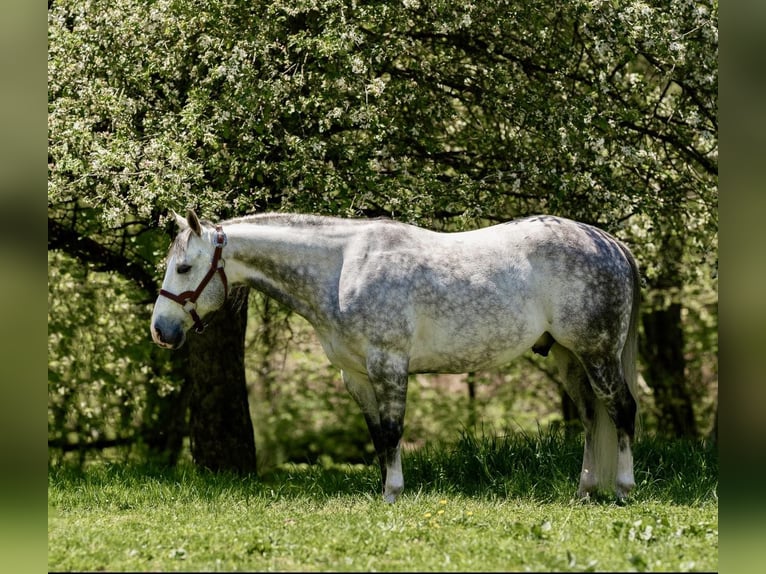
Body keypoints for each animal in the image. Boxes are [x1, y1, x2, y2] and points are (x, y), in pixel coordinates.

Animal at [150, 210, 640, 504]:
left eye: (184, 267)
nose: (160, 331)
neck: (343, 268)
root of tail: (611, 244)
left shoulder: (388, 365)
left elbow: (392, 430)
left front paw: (394, 493)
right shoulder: (356, 376)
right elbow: (377, 436)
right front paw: (384, 491)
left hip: (598, 354)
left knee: (622, 411)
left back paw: (622, 488)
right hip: (569, 357)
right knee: (592, 417)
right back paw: (584, 490)